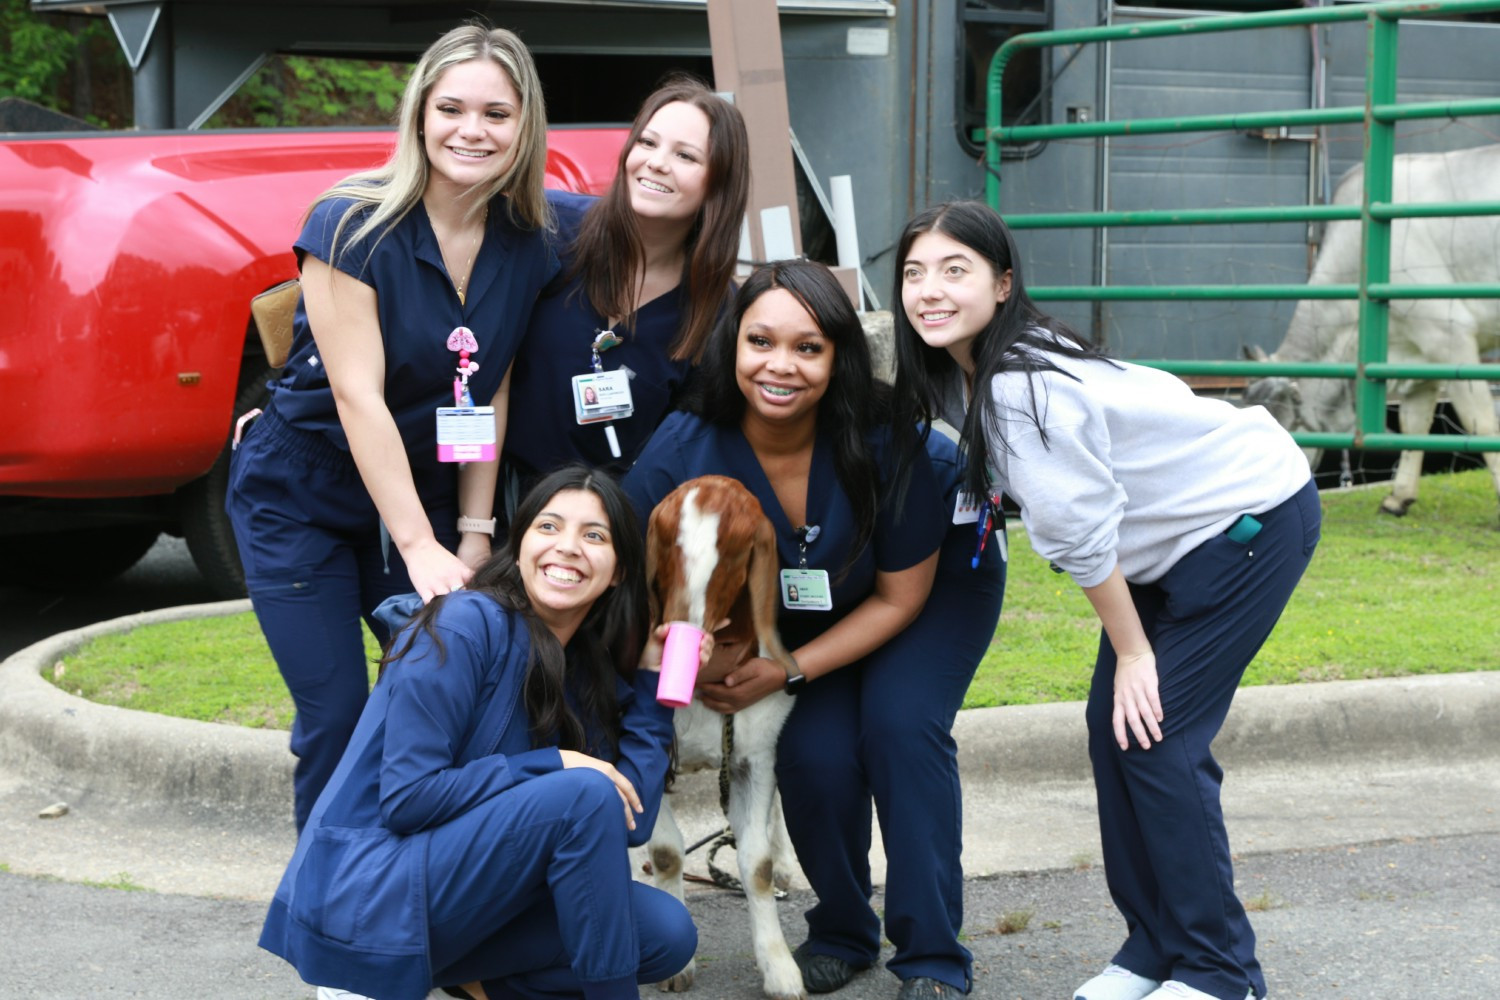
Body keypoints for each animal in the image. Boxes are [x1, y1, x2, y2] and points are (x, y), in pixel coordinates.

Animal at [645, 476, 810, 1000]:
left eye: (737, 554)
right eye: (666, 542)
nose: (680, 631)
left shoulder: (752, 758)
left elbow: (755, 865)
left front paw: (780, 970)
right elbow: (666, 853)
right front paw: (675, 963)